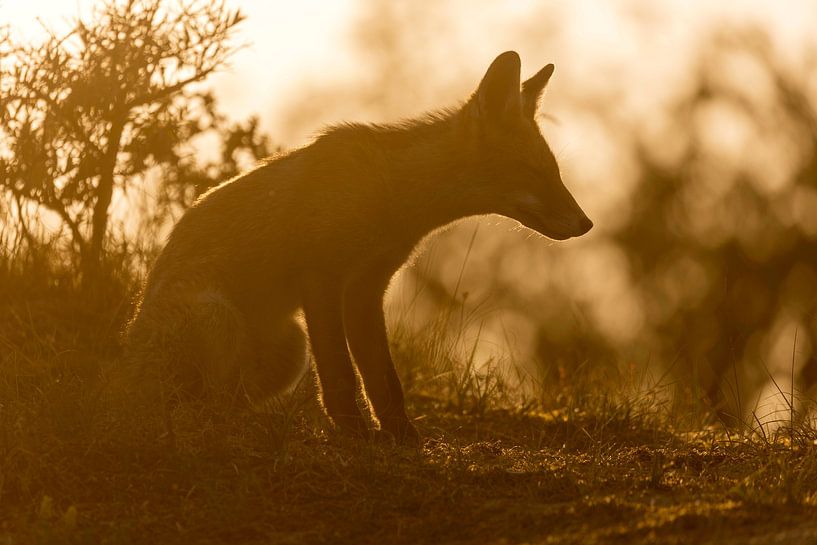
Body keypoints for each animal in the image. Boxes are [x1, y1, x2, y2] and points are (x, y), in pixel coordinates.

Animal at [124, 51, 592, 445]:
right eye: (534, 172)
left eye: (555, 172)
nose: (586, 223)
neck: (389, 193)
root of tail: (120, 364)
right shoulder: (322, 276)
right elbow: (340, 373)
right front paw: (354, 434)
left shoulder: (367, 288)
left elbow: (383, 379)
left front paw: (402, 436)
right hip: (220, 317)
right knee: (194, 406)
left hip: (289, 348)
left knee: (220, 401)